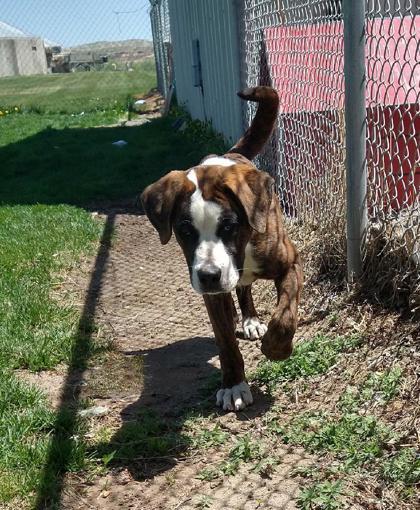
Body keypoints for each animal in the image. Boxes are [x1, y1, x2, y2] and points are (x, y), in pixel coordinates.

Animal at [140, 86, 302, 410]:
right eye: (185, 231)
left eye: (229, 226)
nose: (209, 276)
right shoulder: (212, 296)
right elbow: (225, 340)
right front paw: (234, 385)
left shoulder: (290, 264)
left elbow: (285, 314)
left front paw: (276, 348)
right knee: (239, 291)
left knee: (246, 289)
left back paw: (252, 321)